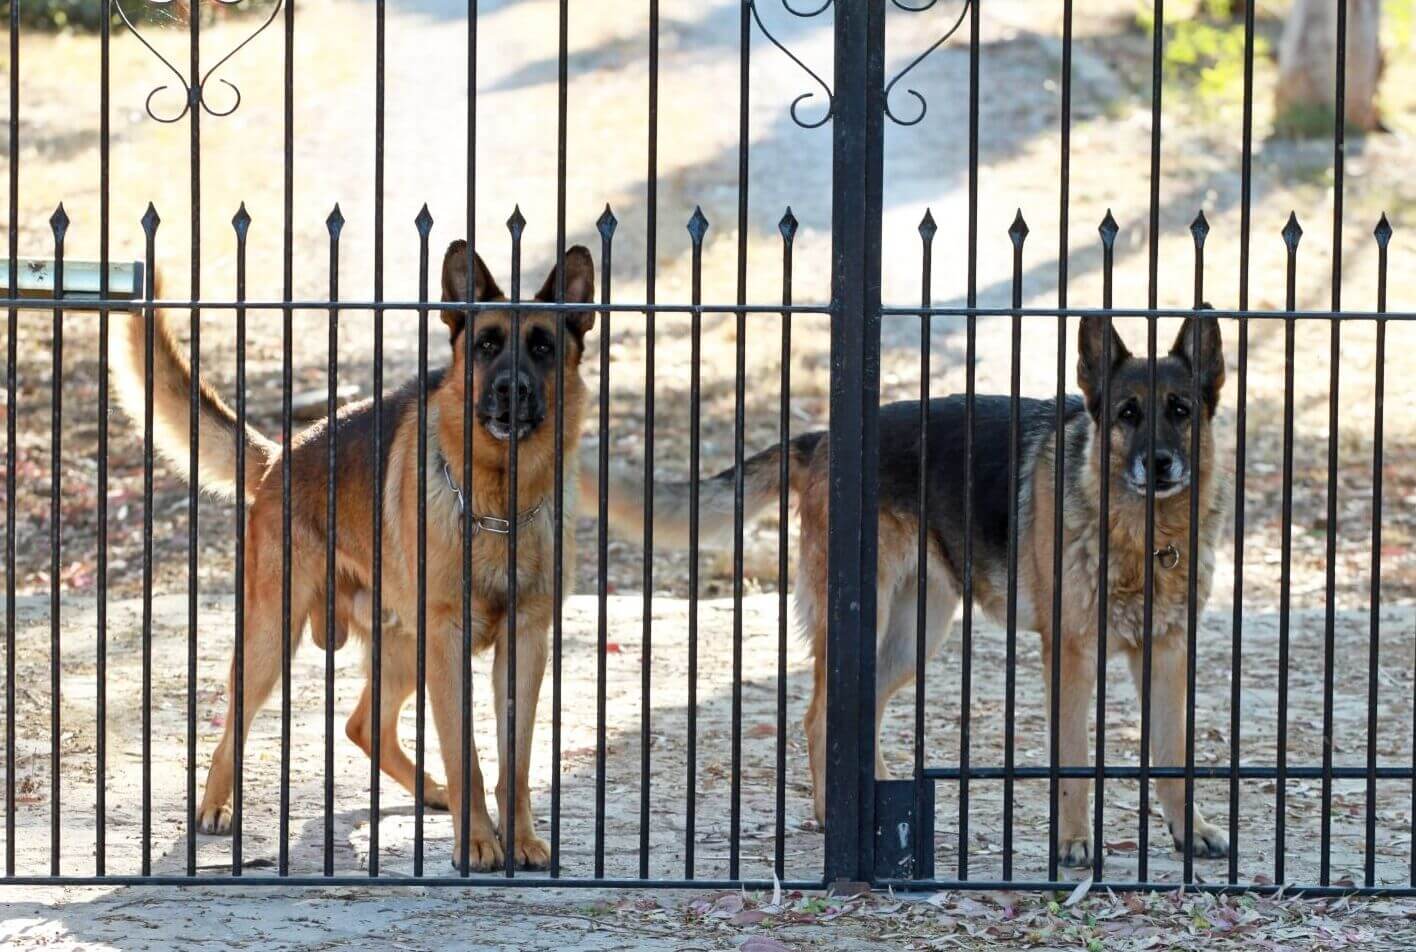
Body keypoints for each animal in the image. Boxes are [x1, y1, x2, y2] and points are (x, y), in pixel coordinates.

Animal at [110, 245, 594, 872]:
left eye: (542, 347)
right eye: (487, 345)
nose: (512, 389)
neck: (499, 504)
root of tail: (280, 458)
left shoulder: (526, 641)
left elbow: (515, 761)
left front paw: (521, 839)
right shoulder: (449, 641)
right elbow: (465, 752)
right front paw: (478, 843)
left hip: (405, 649)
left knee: (365, 725)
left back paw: (430, 790)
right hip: (274, 639)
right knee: (233, 727)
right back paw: (216, 806)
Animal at [594, 315, 1229, 867]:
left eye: (1180, 411)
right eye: (1128, 414)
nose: (1160, 463)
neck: (1144, 537)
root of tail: (825, 439)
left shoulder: (1167, 656)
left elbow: (1174, 756)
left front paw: (1190, 830)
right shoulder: (1070, 657)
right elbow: (1073, 760)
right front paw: (1073, 841)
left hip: (913, 640)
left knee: (864, 708)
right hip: (865, 622)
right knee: (819, 715)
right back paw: (832, 814)